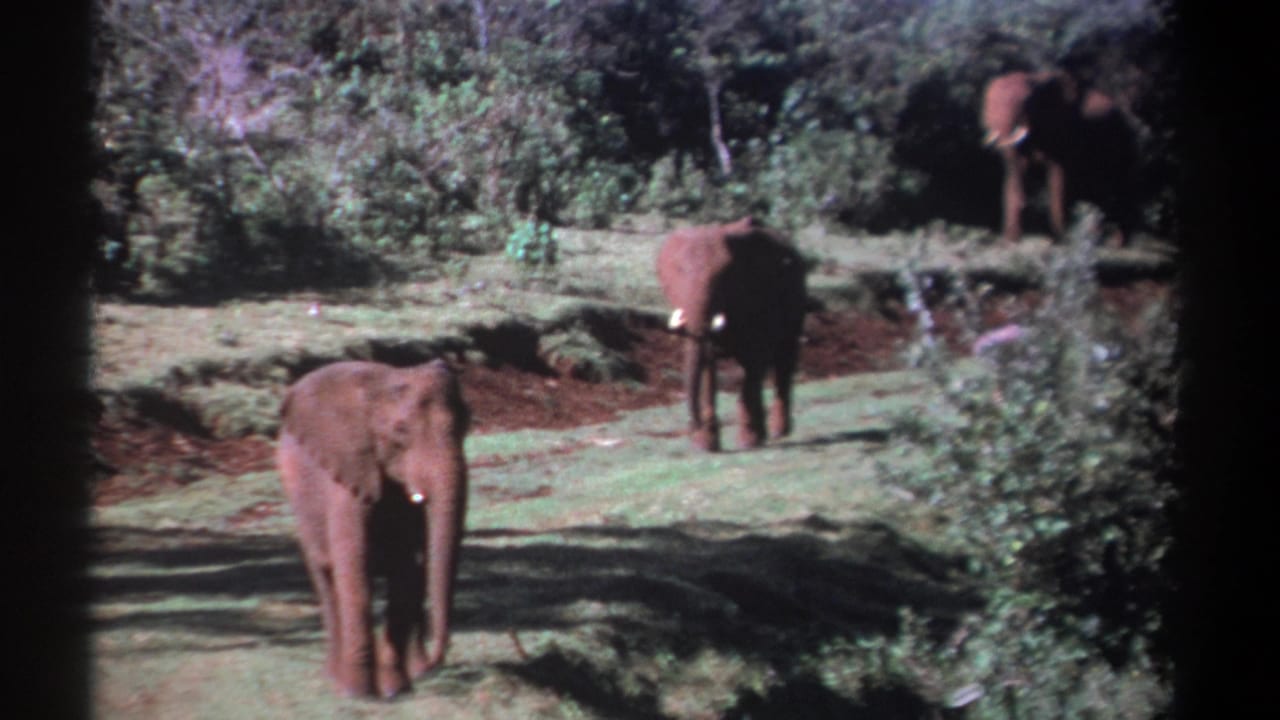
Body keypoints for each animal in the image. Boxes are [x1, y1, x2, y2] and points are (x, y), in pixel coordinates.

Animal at [276, 359, 469, 699]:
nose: (438, 664)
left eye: (467, 423)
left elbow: (405, 572)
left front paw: (395, 690)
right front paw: (359, 693)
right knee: (327, 581)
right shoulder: (346, 475)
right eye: (400, 430)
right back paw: (335, 677)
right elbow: (354, 574)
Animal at [656, 216, 807, 452]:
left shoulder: (761, 297)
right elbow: (708, 362)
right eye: (679, 271)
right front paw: (706, 445)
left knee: (784, 358)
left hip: (796, 298)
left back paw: (777, 432)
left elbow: (756, 357)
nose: (693, 428)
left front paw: (748, 442)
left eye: (725, 276)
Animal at [981, 70, 1138, 245]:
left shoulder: (1063, 132)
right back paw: (1096, 237)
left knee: (1119, 186)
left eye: (1026, 103)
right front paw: (1011, 240)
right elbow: (1016, 172)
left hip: (1123, 140)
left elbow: (1058, 178)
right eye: (988, 103)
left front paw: (1060, 240)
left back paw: (1116, 243)